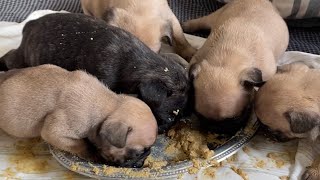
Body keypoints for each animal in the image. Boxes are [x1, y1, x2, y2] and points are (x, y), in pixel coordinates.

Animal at [0, 13, 190, 132]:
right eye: (169, 118)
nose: (164, 130)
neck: (138, 64)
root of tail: (30, 24)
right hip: (25, 57)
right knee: (11, 58)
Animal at [0, 64, 156, 167]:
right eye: (137, 153)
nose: (142, 162)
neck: (110, 107)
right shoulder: (55, 133)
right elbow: (79, 144)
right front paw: (93, 154)